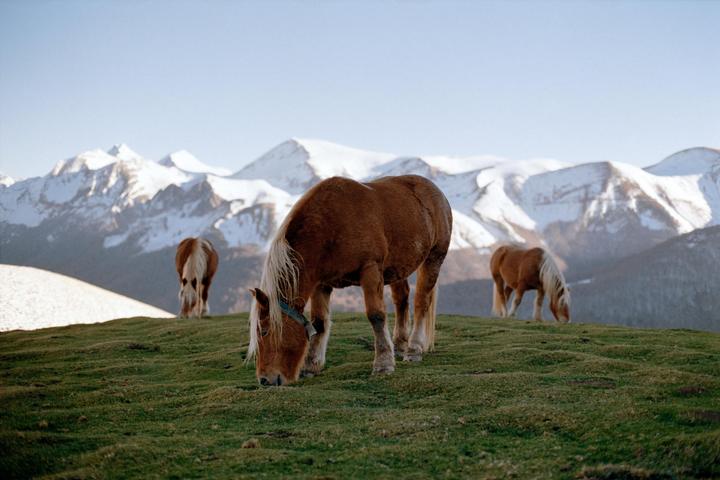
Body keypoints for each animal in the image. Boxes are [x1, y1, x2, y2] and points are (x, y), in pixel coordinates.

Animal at [247, 175, 452, 386]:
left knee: (421, 302)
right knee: (401, 300)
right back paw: (399, 345)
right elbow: (319, 322)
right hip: (398, 268)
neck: (332, 225)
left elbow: (376, 316)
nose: (265, 380)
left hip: (434, 258)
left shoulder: (370, 270)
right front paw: (311, 366)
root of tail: (437, 192)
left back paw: (414, 348)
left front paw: (383, 364)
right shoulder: (321, 283)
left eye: (264, 331)